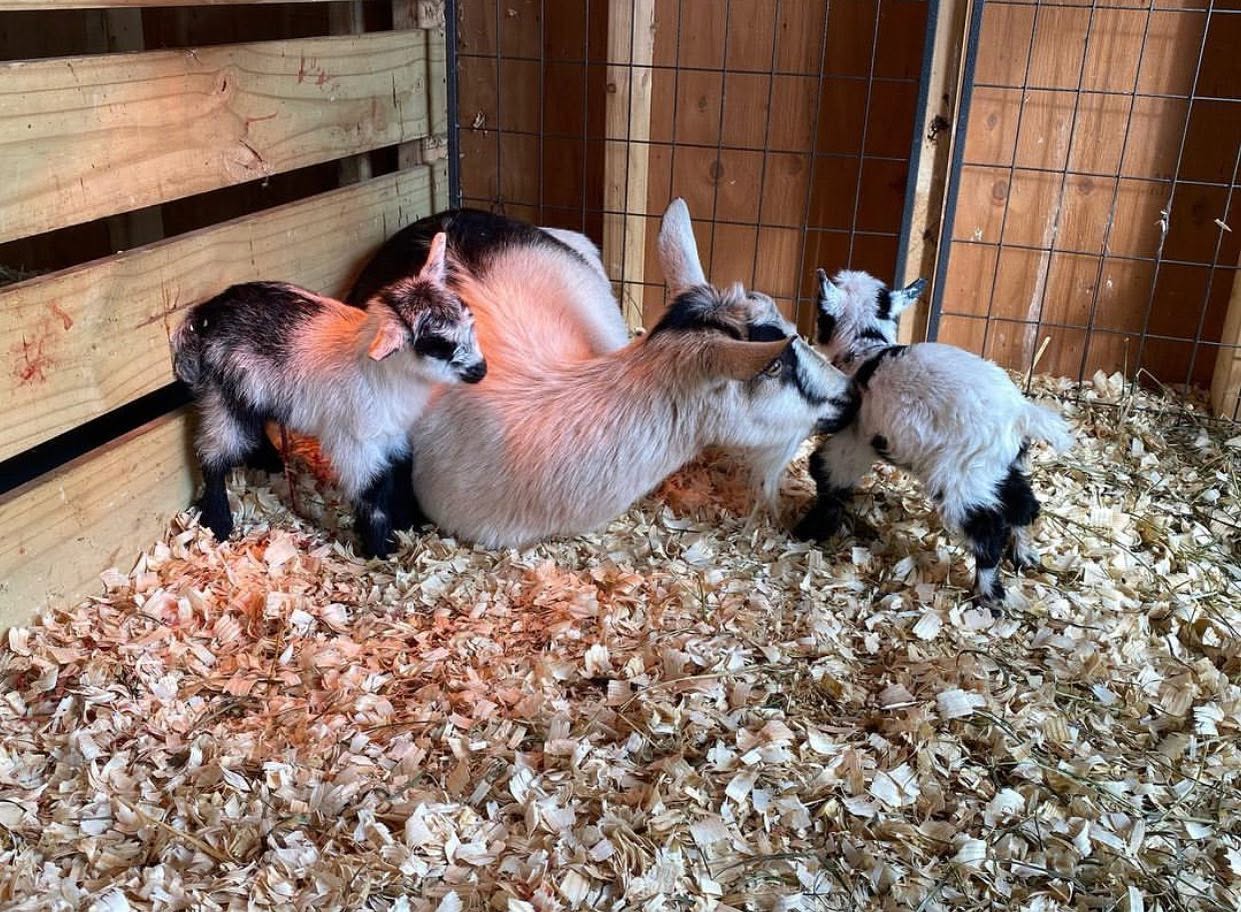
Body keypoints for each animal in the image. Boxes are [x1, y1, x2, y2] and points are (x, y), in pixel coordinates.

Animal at [171, 233, 485, 557]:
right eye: (438, 344)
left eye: (469, 320)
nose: (480, 370)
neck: (382, 373)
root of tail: (206, 313)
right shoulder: (355, 444)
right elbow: (373, 491)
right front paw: (380, 550)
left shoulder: (393, 434)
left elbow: (402, 472)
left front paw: (412, 523)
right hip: (224, 396)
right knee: (212, 455)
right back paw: (218, 522)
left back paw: (271, 467)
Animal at [796, 268, 1072, 609]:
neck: (865, 350)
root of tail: (1019, 413)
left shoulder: (855, 441)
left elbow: (825, 473)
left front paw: (812, 527)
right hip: (1002, 468)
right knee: (1024, 504)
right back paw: (1025, 554)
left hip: (962, 477)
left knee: (987, 531)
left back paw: (989, 594)